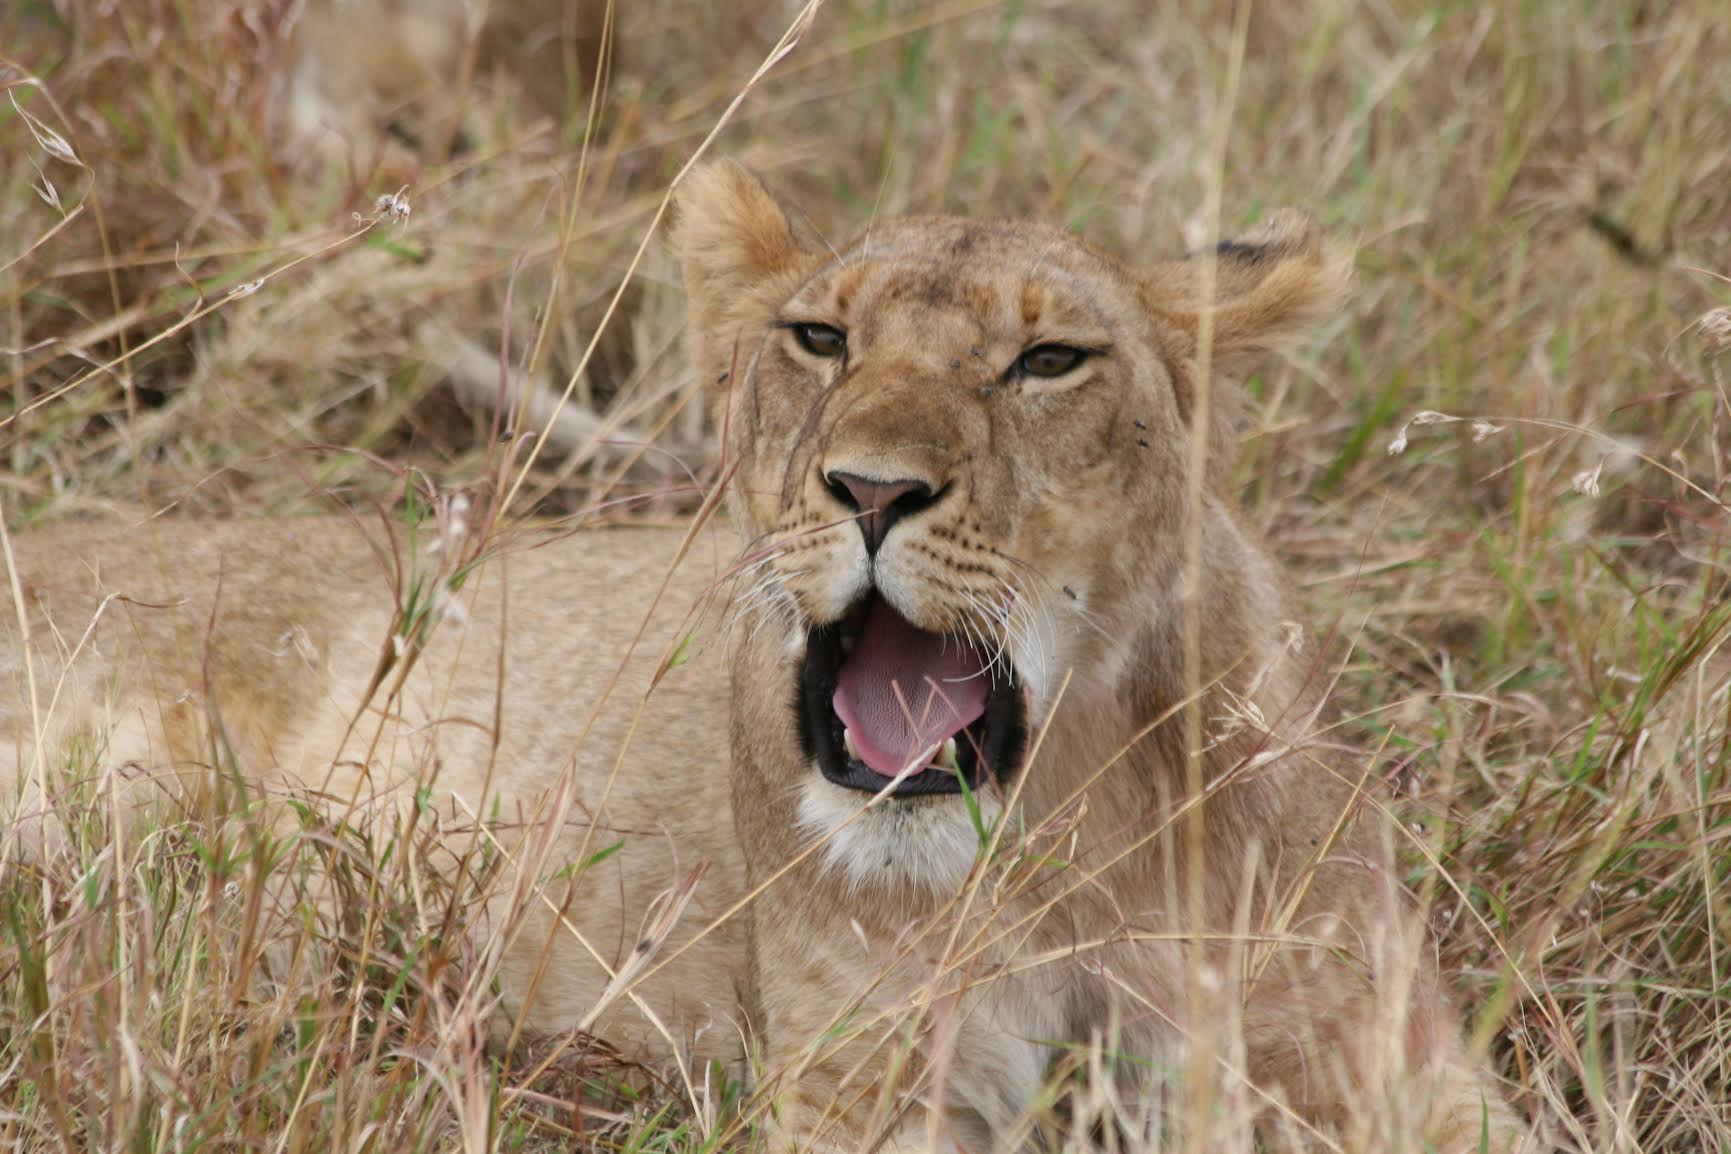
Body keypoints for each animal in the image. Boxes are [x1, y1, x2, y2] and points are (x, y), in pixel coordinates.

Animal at [1, 162, 1526, 1152]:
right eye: (820, 336)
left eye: (1047, 360)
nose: (870, 490)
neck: (1073, 833)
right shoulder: (865, 1076)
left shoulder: (1383, 1062)